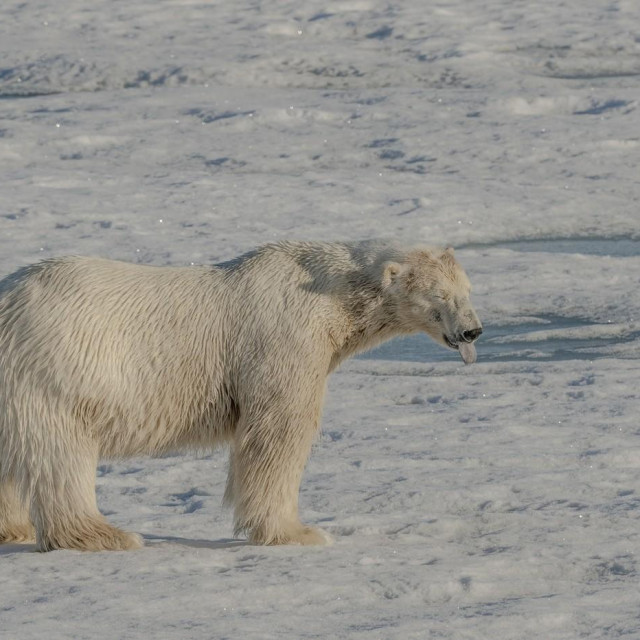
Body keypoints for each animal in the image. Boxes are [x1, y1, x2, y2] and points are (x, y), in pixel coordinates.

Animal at [0, 240, 480, 552]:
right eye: (440, 294)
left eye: (468, 289)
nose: (473, 331)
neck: (329, 295)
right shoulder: (282, 337)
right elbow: (278, 431)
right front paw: (299, 532)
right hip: (55, 366)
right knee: (60, 453)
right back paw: (106, 535)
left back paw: (16, 528)